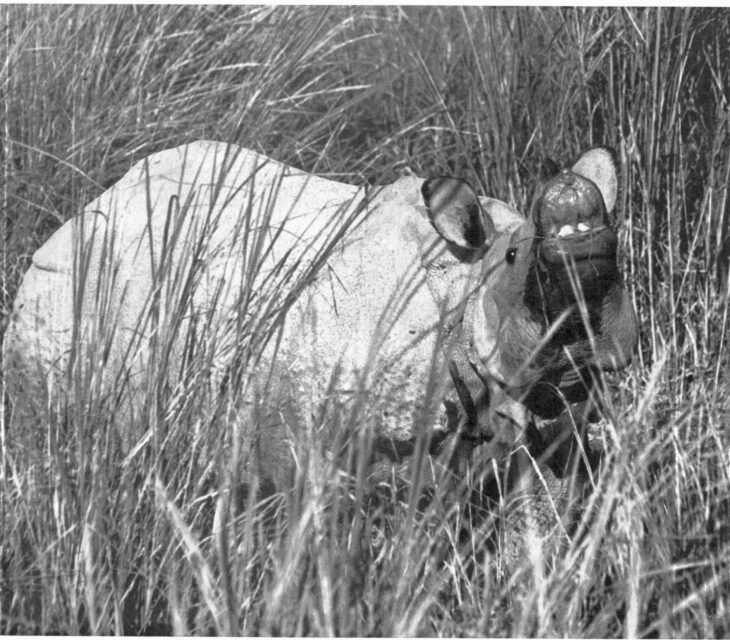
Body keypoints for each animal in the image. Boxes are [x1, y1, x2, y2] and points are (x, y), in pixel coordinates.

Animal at [3, 141, 637, 509]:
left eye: (618, 261)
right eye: (513, 258)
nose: (571, 195)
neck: (460, 289)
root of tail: (76, 215)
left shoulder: (553, 418)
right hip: (60, 299)